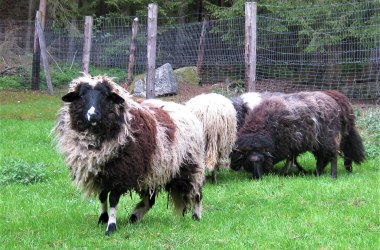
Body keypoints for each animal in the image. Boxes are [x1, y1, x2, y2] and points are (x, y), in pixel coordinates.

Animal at [52, 74, 205, 234]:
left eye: (105, 95)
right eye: (81, 95)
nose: (92, 115)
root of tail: (185, 110)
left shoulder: (120, 172)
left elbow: (113, 199)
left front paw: (111, 226)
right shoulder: (103, 173)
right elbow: (102, 196)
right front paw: (102, 219)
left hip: (190, 165)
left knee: (196, 193)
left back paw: (196, 216)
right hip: (154, 170)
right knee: (150, 199)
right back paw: (135, 216)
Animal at [229, 91, 366, 179]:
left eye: (259, 161)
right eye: (248, 159)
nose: (257, 178)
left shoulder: (288, 143)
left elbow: (290, 158)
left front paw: (284, 172)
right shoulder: (291, 145)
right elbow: (291, 158)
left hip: (329, 138)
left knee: (333, 156)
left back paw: (333, 175)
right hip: (318, 142)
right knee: (322, 157)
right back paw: (317, 173)